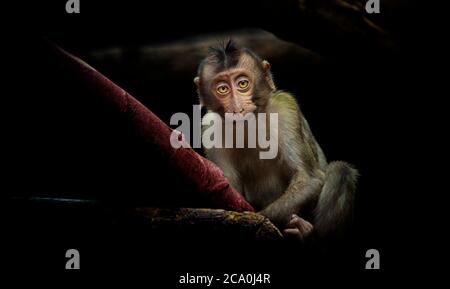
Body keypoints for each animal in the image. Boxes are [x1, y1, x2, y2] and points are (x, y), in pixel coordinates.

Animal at [193, 39, 358, 240]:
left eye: (243, 84)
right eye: (223, 89)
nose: (238, 108)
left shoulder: (285, 108)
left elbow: (308, 179)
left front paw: (257, 222)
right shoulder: (210, 128)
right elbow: (229, 193)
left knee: (341, 171)